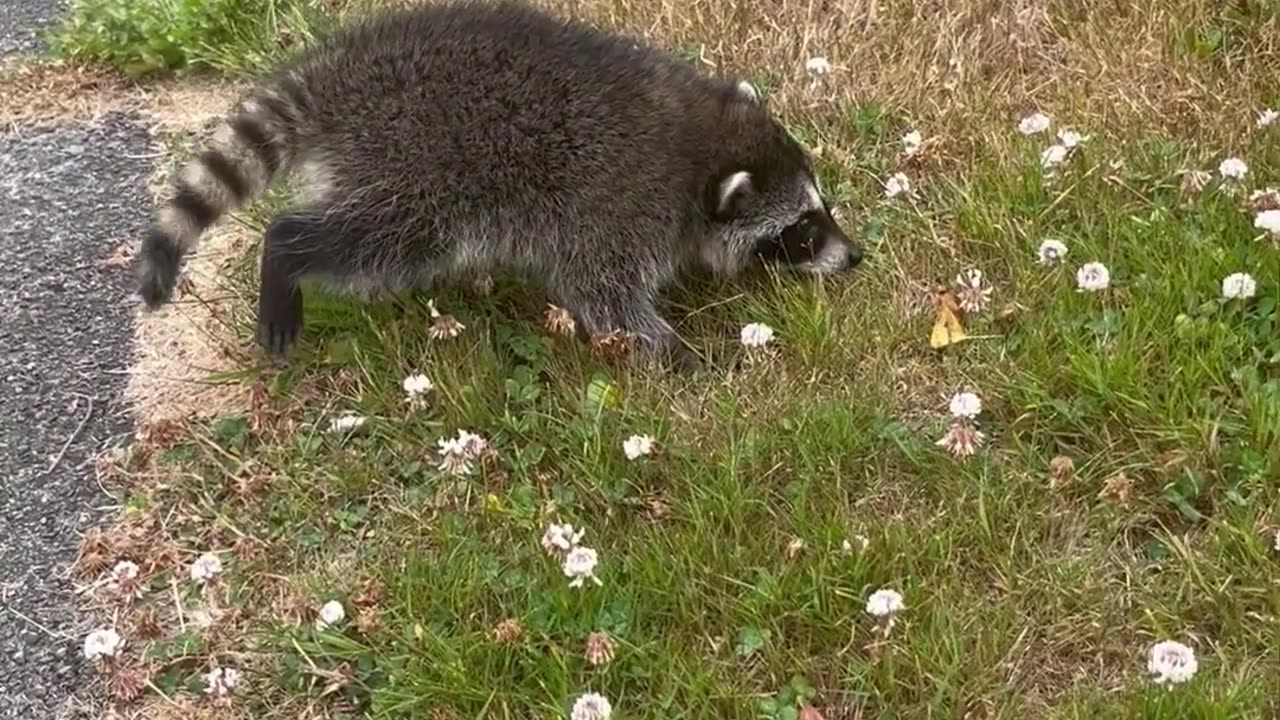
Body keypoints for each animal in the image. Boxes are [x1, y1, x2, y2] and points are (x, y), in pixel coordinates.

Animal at [135, 0, 860, 363]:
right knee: (377, 238)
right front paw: (683, 355)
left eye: (819, 210)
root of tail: (339, 72)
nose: (854, 256)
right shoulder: (615, 211)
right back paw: (285, 251)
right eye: (801, 230)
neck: (700, 143)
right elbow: (605, 300)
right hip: (417, 169)